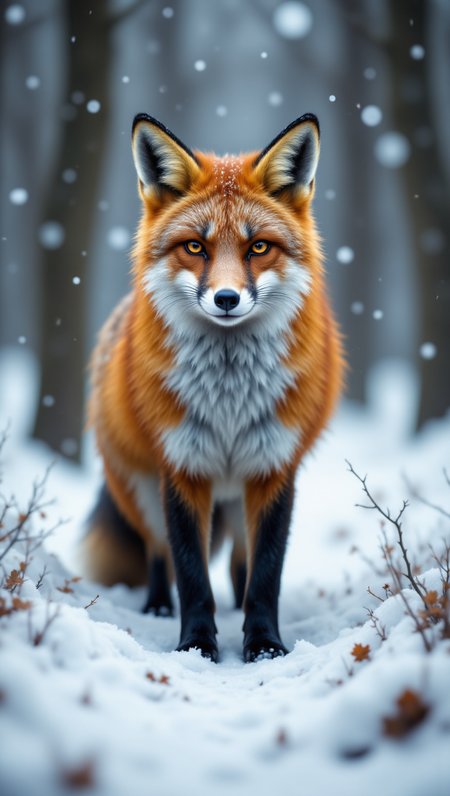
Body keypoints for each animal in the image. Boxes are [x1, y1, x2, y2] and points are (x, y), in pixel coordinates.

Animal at [84, 112, 344, 663]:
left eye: (258, 246)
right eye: (195, 247)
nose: (226, 299)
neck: (228, 401)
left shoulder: (274, 467)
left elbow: (265, 574)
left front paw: (264, 643)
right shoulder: (183, 466)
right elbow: (191, 575)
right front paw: (197, 645)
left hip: (240, 497)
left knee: (240, 564)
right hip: (140, 489)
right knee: (158, 554)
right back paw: (158, 607)